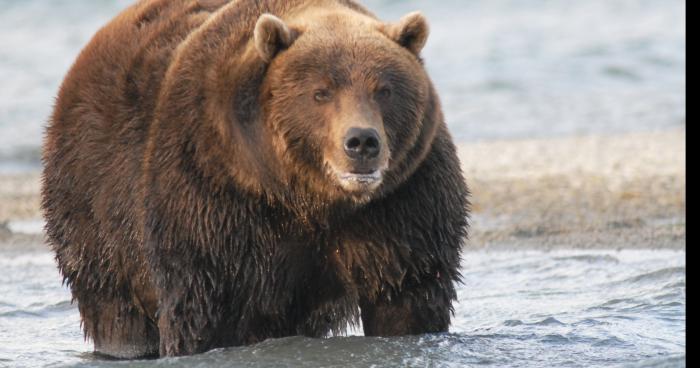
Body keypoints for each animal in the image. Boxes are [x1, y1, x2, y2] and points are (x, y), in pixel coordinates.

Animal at [41, 0, 468, 360]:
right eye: (321, 92)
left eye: (384, 89)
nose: (362, 141)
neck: (307, 197)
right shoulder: (214, 197)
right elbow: (206, 307)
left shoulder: (400, 204)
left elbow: (408, 292)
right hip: (95, 200)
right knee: (114, 302)